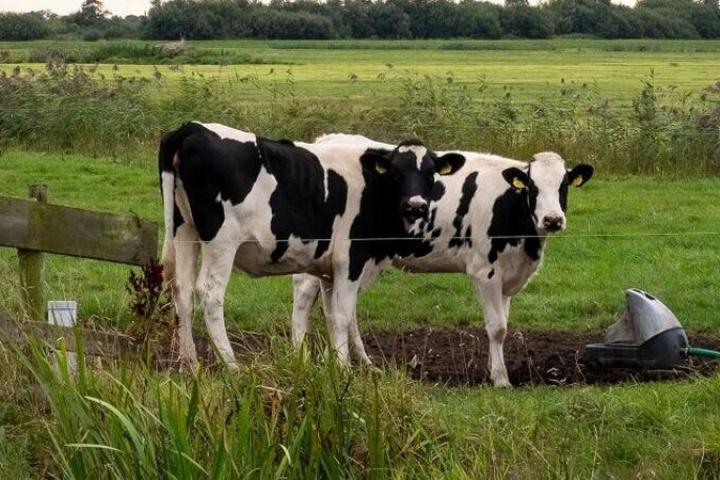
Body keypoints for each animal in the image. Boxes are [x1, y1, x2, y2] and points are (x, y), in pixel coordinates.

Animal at [158, 122, 464, 366]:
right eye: (396, 173)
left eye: (430, 174)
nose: (416, 206)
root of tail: (193, 128)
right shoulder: (351, 259)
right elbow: (343, 314)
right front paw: (344, 369)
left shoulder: (329, 270)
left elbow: (333, 315)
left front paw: (342, 363)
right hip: (222, 240)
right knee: (210, 293)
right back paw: (232, 366)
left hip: (184, 230)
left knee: (182, 291)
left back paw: (190, 365)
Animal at [290, 134, 592, 386]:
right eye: (532, 186)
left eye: (564, 186)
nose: (552, 219)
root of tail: (327, 139)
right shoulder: (485, 272)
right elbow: (497, 327)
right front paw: (500, 379)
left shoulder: (508, 275)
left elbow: (503, 324)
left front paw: (494, 370)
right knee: (304, 299)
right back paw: (301, 360)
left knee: (340, 310)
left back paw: (359, 363)